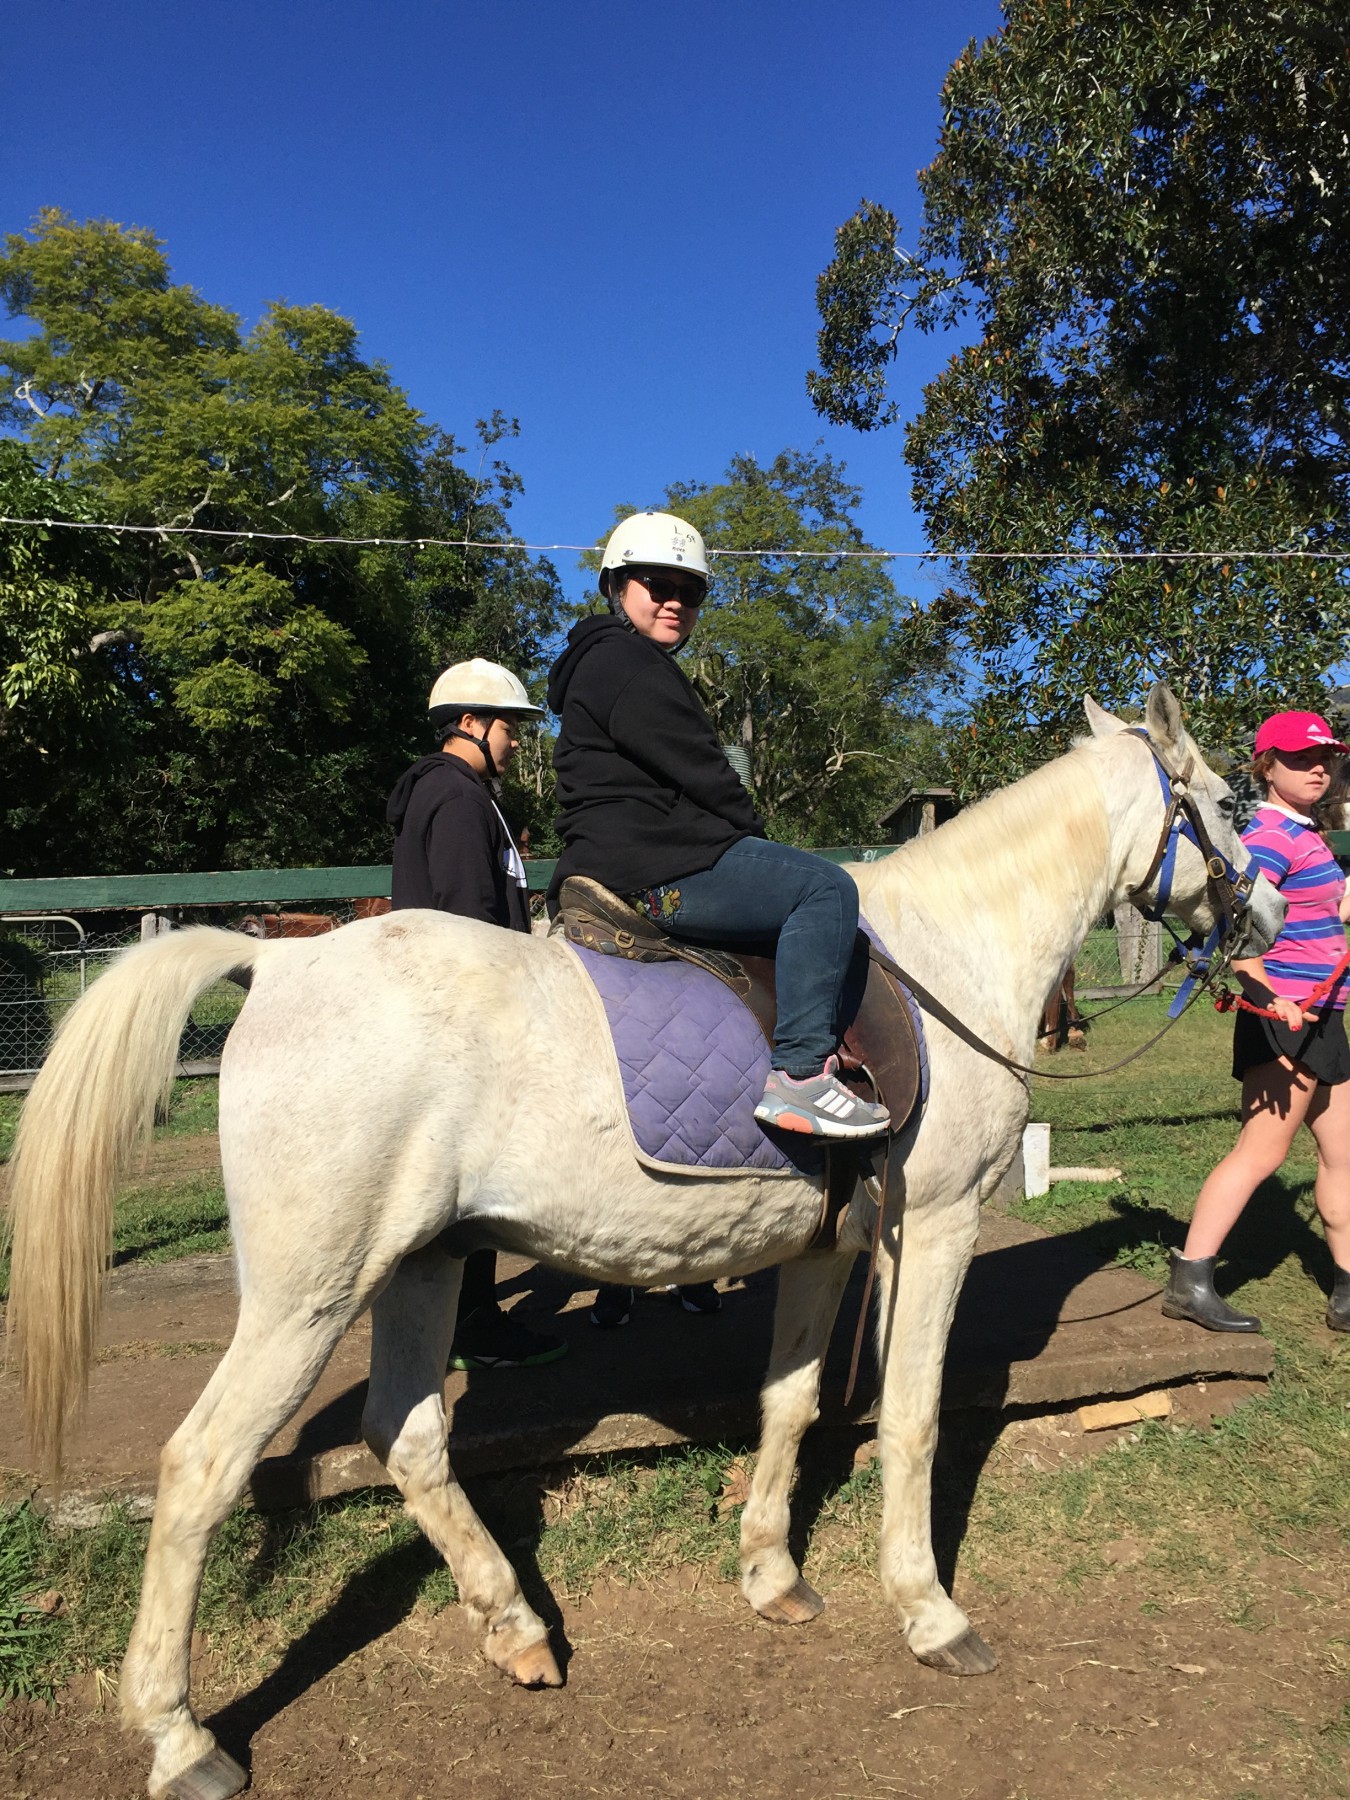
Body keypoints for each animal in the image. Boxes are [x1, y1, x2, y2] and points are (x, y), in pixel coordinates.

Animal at [5, 686, 1281, 1800]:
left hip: (419, 1265)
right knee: (200, 1468)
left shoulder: (826, 1248)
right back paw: (181, 1738)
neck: (945, 956)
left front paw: (772, 1573)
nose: (1269, 915)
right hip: (305, 1299)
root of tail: (277, 959)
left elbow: (792, 1401)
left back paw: (515, 1627)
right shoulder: (938, 1228)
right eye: (1227, 802)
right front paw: (928, 1611)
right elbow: (913, 1420)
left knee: (406, 1436)